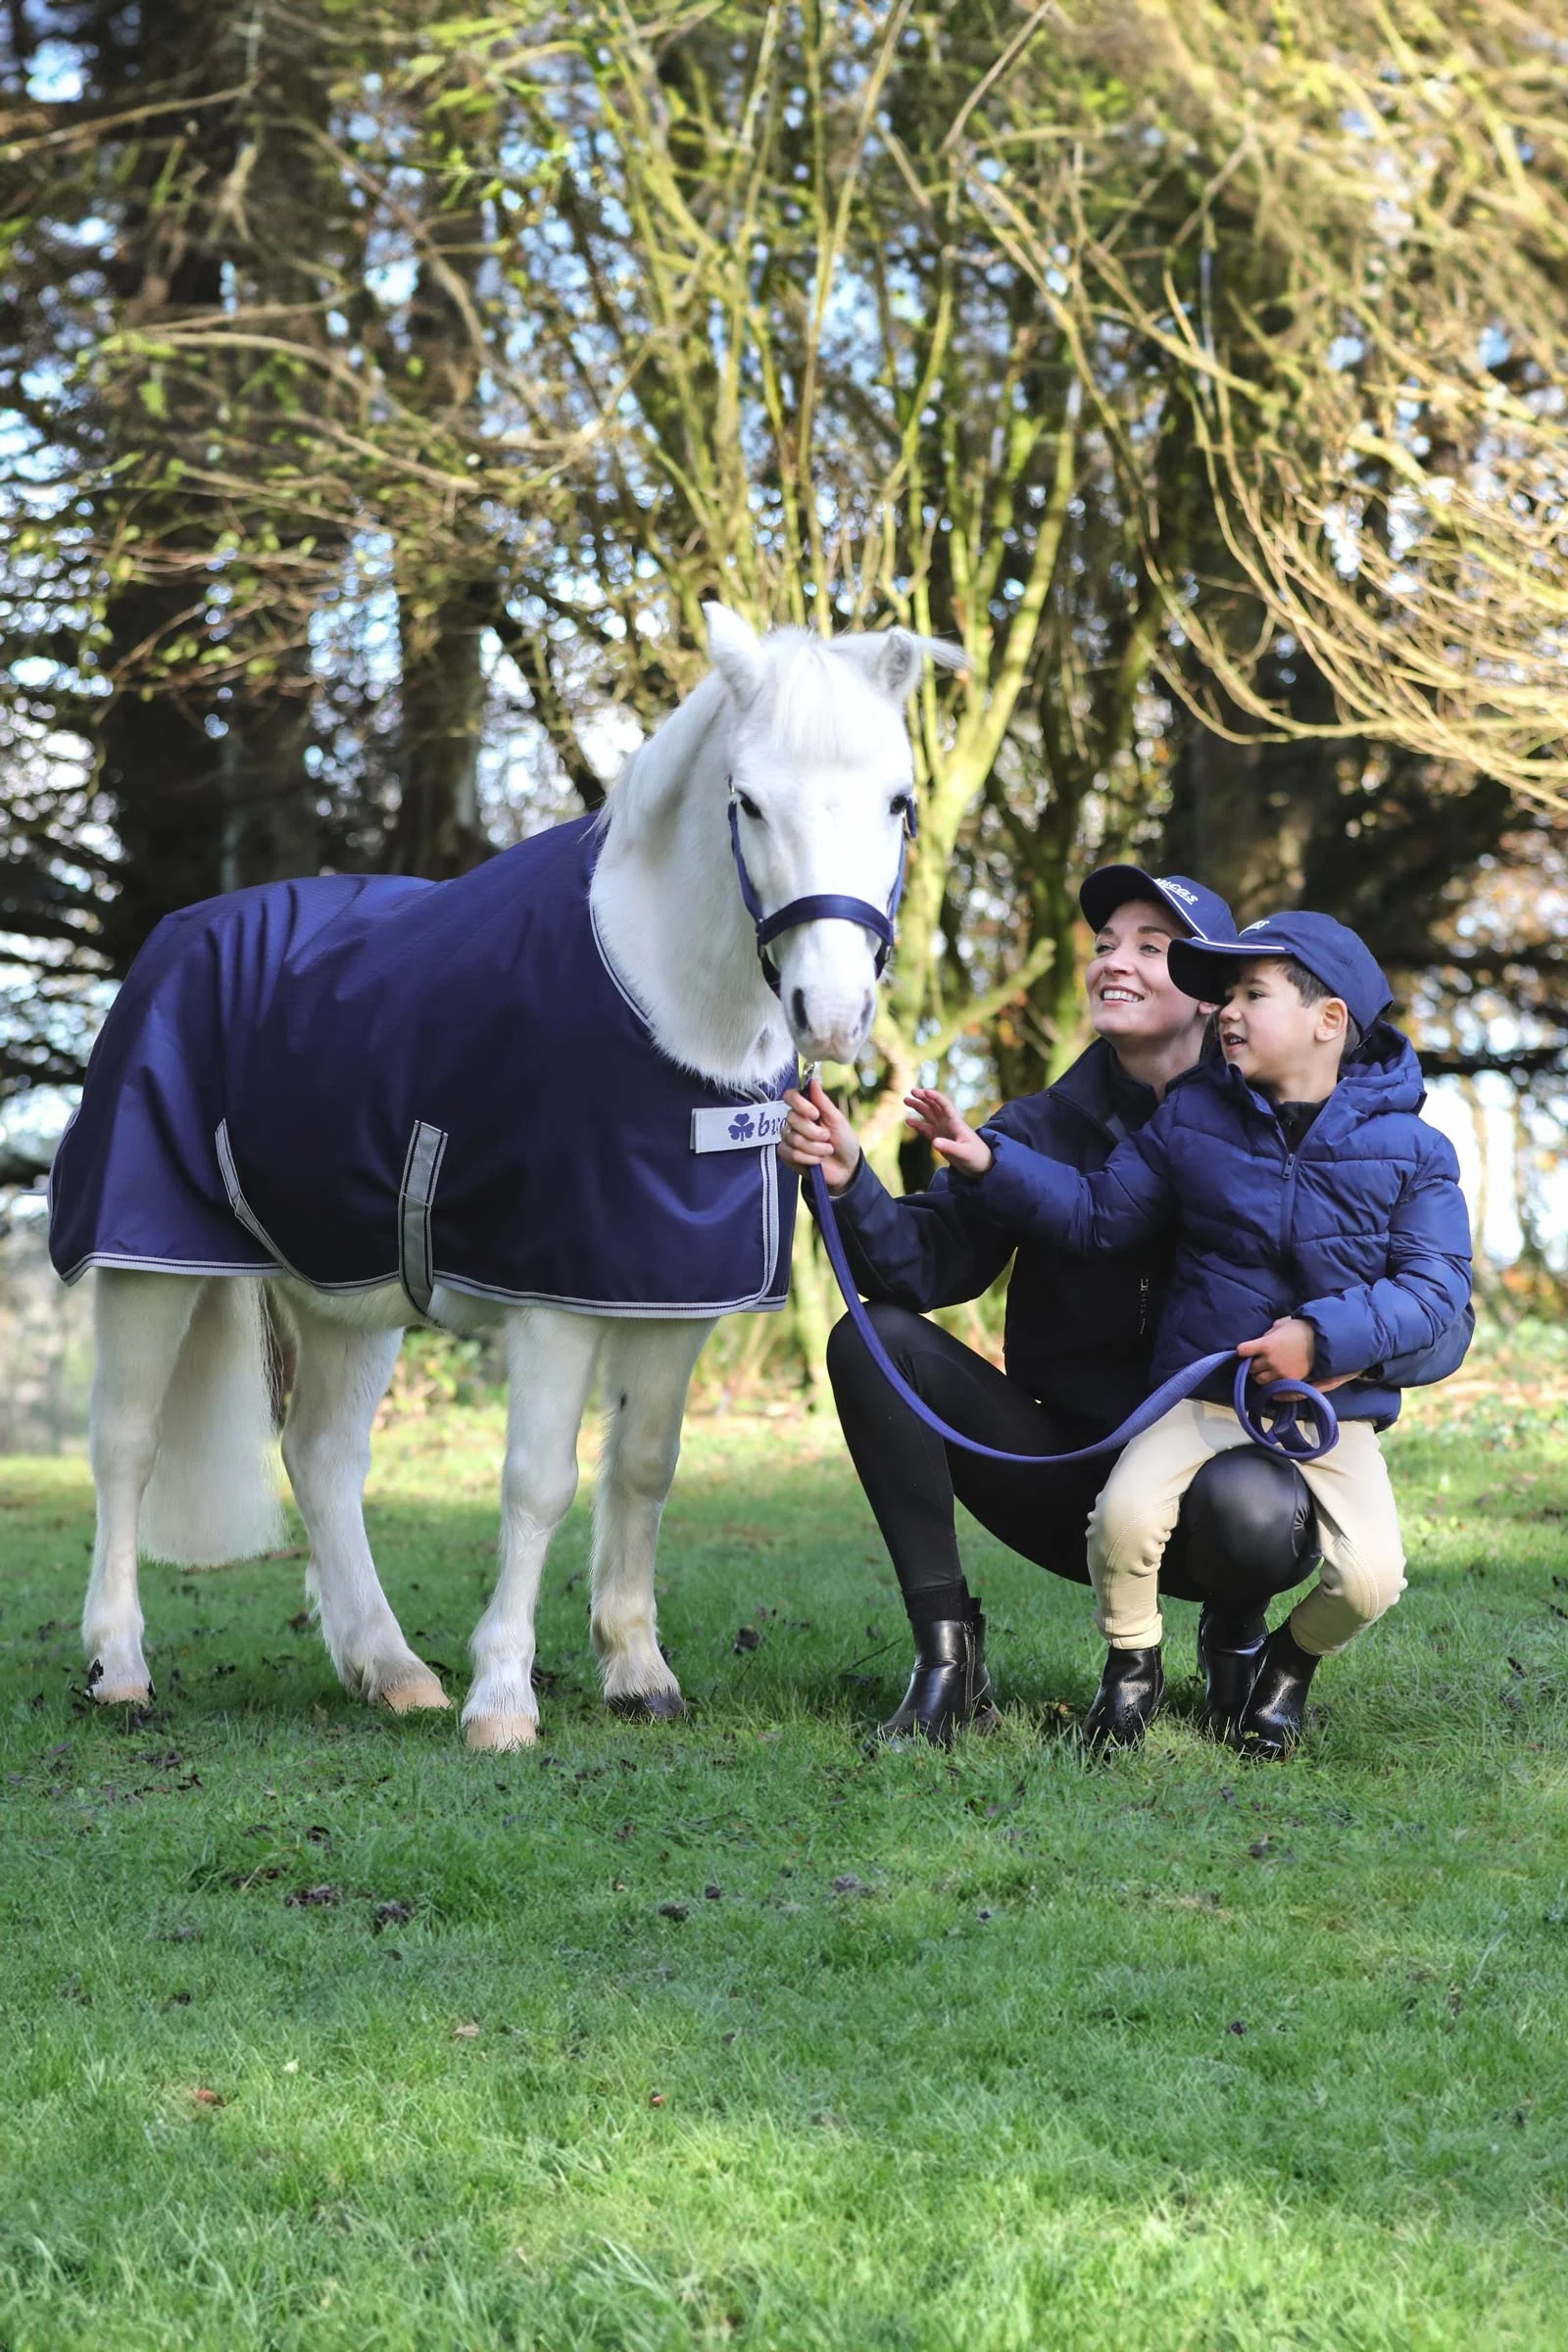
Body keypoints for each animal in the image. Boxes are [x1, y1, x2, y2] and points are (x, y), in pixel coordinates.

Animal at [51, 607, 965, 1752]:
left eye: (899, 800)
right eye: (748, 801)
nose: (832, 1016)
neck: (664, 1014)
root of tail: (174, 941)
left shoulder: (673, 1298)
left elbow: (645, 1465)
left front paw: (638, 1672)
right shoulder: (552, 1299)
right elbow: (540, 1485)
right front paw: (501, 1701)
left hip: (347, 1298)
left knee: (321, 1456)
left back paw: (391, 1669)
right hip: (150, 1266)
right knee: (124, 1449)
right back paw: (118, 1667)